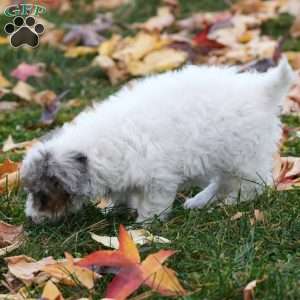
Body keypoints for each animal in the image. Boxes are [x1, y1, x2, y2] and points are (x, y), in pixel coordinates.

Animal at [22, 59, 294, 223]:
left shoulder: (159, 180)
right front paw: (114, 209)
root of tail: (261, 90)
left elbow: (153, 205)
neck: (97, 148)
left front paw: (143, 226)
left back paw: (227, 203)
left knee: (252, 185)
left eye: (43, 195)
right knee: (223, 183)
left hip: (243, 157)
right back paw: (199, 202)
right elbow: (123, 194)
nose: (30, 218)